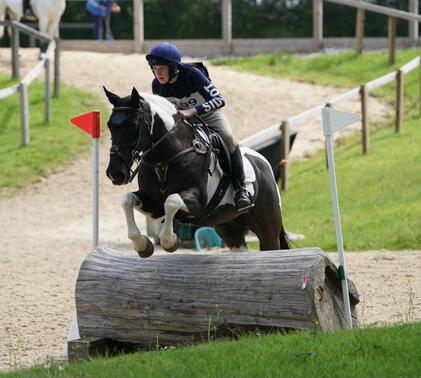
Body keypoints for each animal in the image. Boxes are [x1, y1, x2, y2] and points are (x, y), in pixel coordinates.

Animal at [104, 86, 288, 256]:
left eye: (134, 125)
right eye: (109, 125)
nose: (115, 173)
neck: (164, 159)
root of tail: (265, 165)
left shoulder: (197, 201)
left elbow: (171, 201)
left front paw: (170, 241)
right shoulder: (154, 204)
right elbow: (127, 199)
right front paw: (143, 245)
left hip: (267, 227)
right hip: (230, 227)